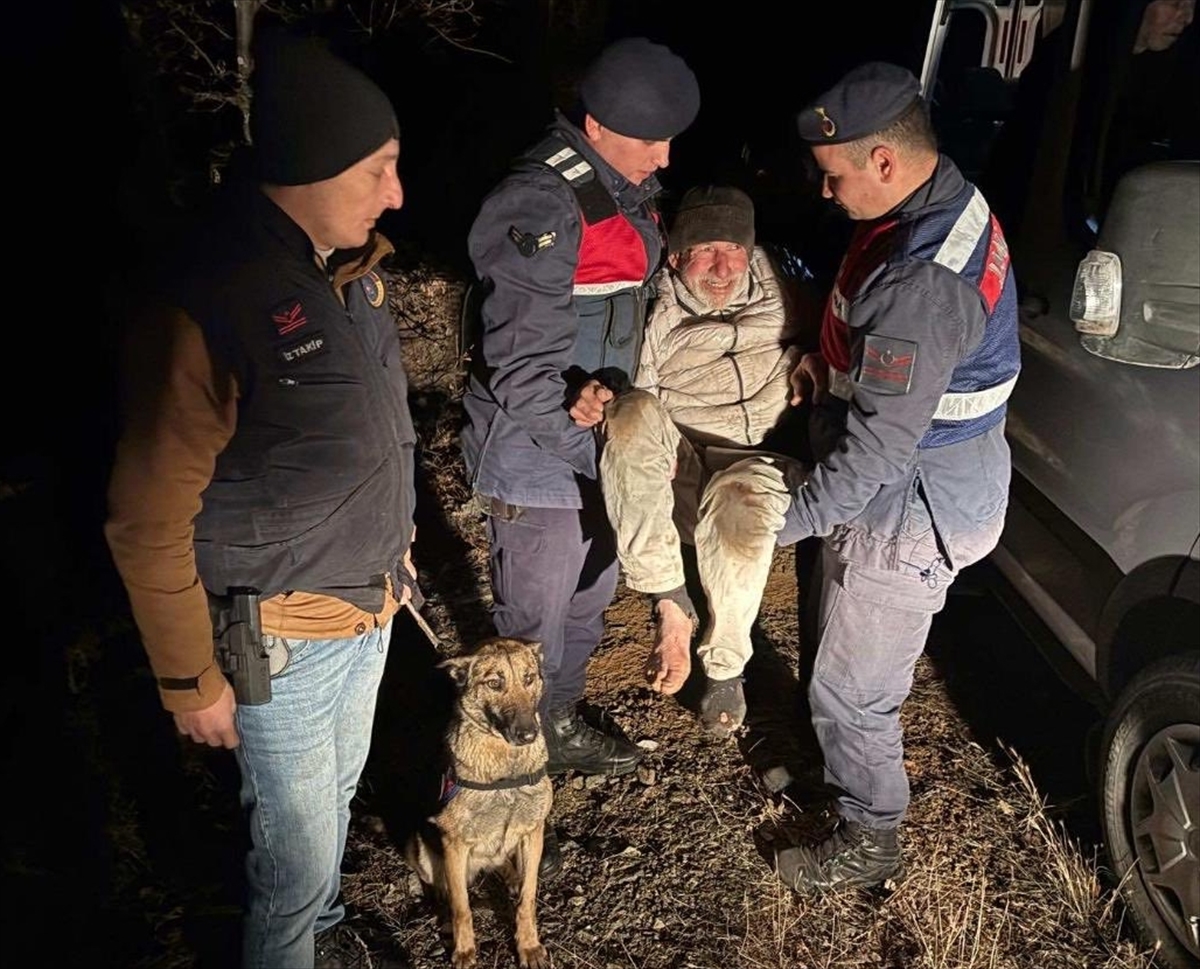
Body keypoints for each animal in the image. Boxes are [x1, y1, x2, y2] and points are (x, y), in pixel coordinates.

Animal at [403, 638, 552, 968]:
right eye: (494, 683)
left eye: (529, 678)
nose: (528, 734)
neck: (506, 771)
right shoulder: (454, 844)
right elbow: (462, 907)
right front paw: (464, 950)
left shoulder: (533, 832)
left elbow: (528, 898)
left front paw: (528, 945)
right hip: (420, 848)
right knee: (442, 888)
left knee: (502, 863)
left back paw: (511, 875)